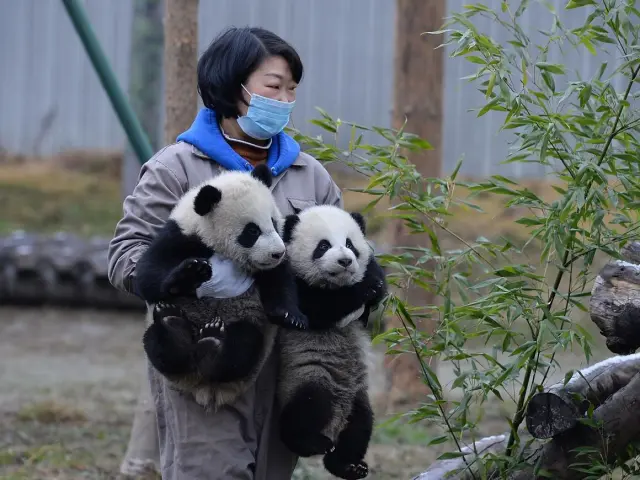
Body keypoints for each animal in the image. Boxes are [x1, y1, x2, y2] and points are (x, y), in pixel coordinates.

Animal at [135, 164, 307, 410]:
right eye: (252, 231)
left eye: (274, 222)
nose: (278, 253)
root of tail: (199, 383)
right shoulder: (181, 235)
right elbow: (148, 273)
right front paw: (191, 273)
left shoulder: (267, 268)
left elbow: (280, 281)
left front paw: (291, 316)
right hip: (161, 338)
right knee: (159, 346)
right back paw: (173, 325)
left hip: (247, 325)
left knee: (241, 348)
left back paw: (212, 344)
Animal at [276, 205, 388, 480]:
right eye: (323, 246)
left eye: (350, 244)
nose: (345, 261)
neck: (334, 283)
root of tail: (334, 421)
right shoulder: (296, 287)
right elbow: (321, 309)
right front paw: (365, 286)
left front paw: (374, 279)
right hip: (311, 374)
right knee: (304, 409)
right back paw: (311, 442)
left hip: (358, 395)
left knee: (360, 426)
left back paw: (347, 465)